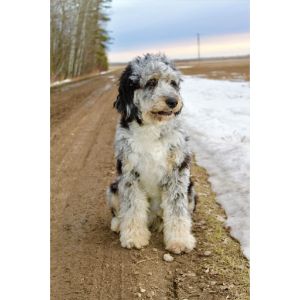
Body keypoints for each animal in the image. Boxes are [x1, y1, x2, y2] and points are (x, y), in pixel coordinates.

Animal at [106, 53, 198, 253]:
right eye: (151, 82)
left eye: (173, 83)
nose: (173, 101)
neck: (152, 128)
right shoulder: (129, 173)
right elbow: (132, 208)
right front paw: (133, 237)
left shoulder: (177, 172)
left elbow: (177, 210)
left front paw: (179, 240)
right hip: (113, 188)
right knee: (119, 212)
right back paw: (118, 224)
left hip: (191, 191)